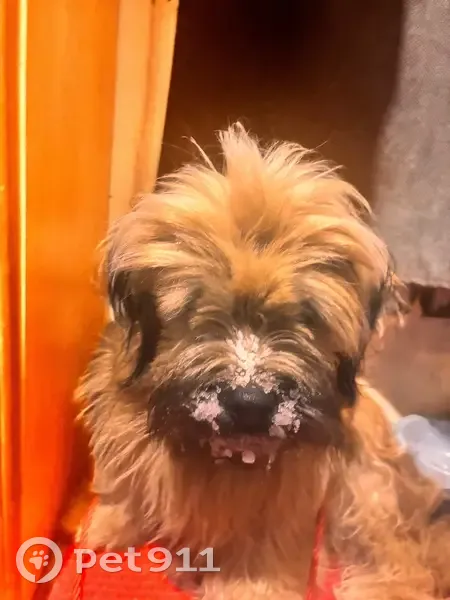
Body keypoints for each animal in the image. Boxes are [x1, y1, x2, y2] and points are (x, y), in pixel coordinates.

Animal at [78, 125, 450, 600]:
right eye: (197, 305)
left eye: (306, 315)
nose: (249, 404)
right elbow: (124, 484)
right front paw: (109, 526)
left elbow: (259, 565)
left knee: (405, 562)